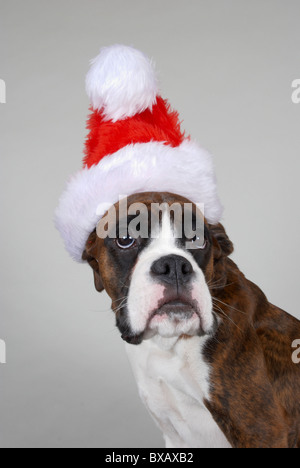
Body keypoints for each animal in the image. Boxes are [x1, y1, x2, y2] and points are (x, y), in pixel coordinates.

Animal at [82, 191, 300, 450]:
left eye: (197, 239)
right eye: (125, 239)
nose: (174, 265)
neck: (169, 343)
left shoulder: (262, 434)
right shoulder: (176, 439)